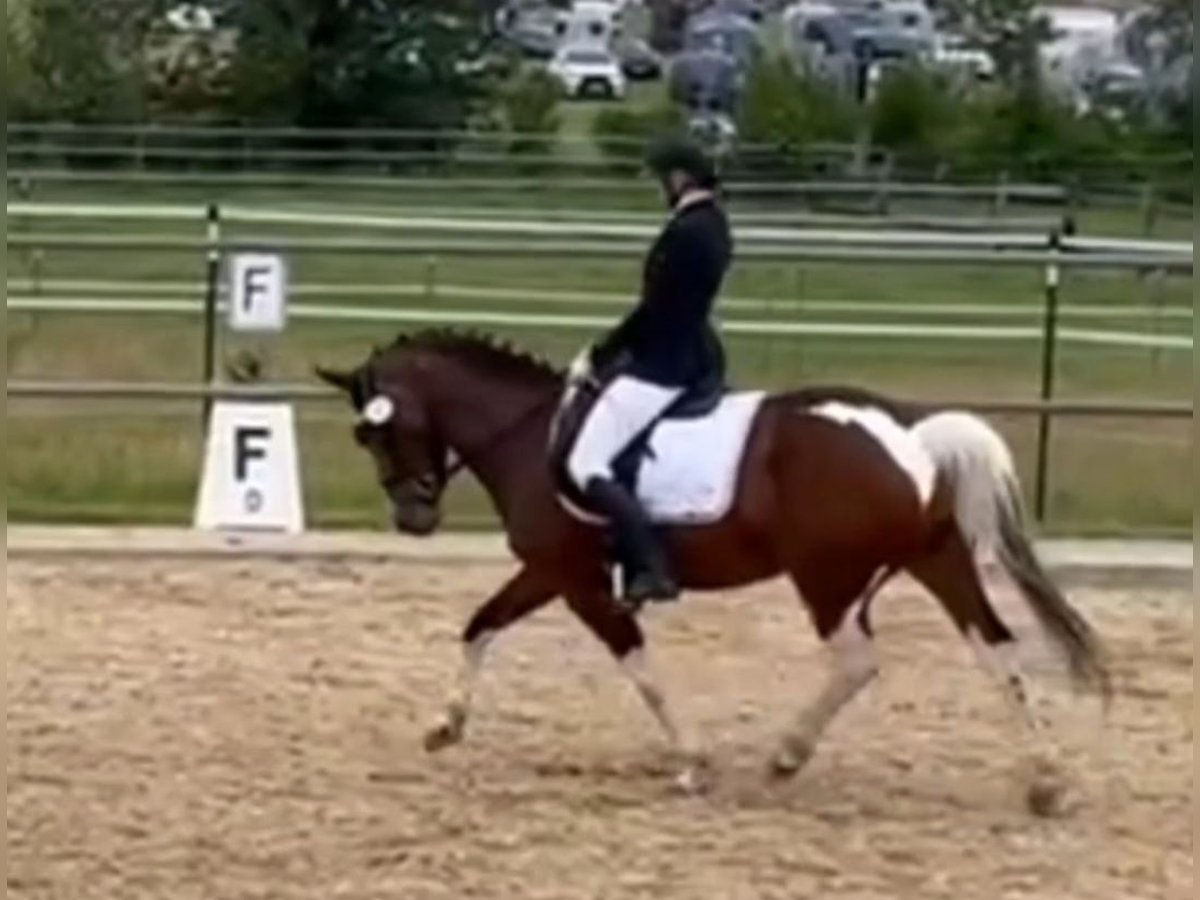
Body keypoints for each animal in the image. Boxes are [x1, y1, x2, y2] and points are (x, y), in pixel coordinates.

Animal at [314, 328, 1108, 801]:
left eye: (373, 432)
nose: (413, 518)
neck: (534, 434)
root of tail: (909, 430)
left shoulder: (571, 579)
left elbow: (637, 667)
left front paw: (692, 759)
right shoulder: (551, 576)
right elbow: (481, 625)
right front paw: (445, 726)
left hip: (828, 577)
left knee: (857, 661)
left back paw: (787, 755)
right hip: (935, 560)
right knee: (995, 650)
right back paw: (1046, 779)